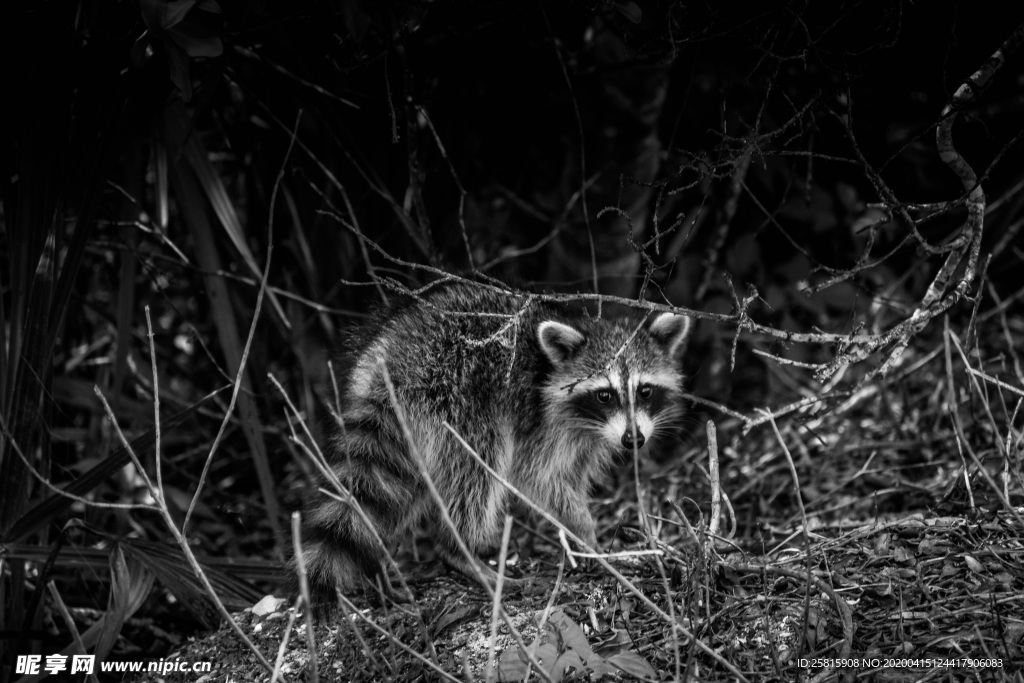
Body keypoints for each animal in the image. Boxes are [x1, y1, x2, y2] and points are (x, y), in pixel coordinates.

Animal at [299, 286, 692, 606]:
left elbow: (572, 476)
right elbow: (540, 480)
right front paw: (587, 536)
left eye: (645, 390)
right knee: (477, 469)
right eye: (605, 394)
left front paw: (586, 536)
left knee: (401, 485)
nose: (633, 440)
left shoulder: (588, 437)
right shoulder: (541, 424)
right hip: (454, 397)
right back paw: (459, 550)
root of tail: (389, 356)